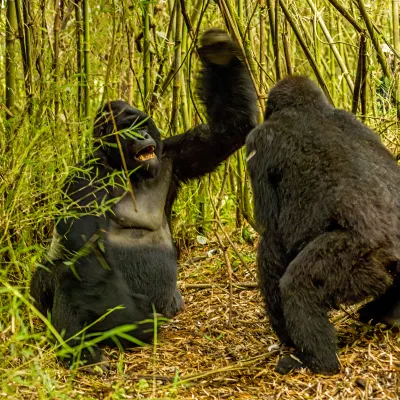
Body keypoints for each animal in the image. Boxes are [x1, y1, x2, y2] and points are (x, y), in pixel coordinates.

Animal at [30, 28, 256, 366]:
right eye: (128, 127)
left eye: (142, 124)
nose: (144, 137)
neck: (122, 166)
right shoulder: (83, 179)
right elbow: (85, 250)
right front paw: (133, 324)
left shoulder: (174, 154)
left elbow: (230, 128)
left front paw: (220, 53)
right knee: (60, 271)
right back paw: (81, 351)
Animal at [247, 75, 400, 376]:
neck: (307, 108)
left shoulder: (259, 141)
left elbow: (270, 236)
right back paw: (388, 312)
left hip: (356, 257)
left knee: (298, 285)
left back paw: (316, 361)